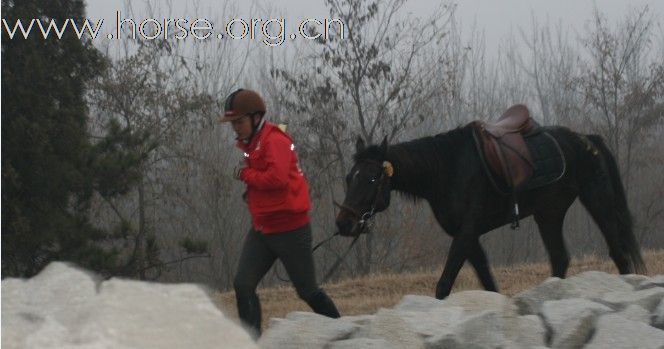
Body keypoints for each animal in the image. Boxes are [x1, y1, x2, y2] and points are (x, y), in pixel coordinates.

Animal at [334, 117, 644, 300]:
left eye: (372, 178)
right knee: (560, 259)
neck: (447, 168)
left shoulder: (466, 233)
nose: (344, 223)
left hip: (597, 200)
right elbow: (488, 282)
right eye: (349, 177)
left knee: (618, 253)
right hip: (549, 214)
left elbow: (444, 284)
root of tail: (588, 139)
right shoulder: (468, 237)